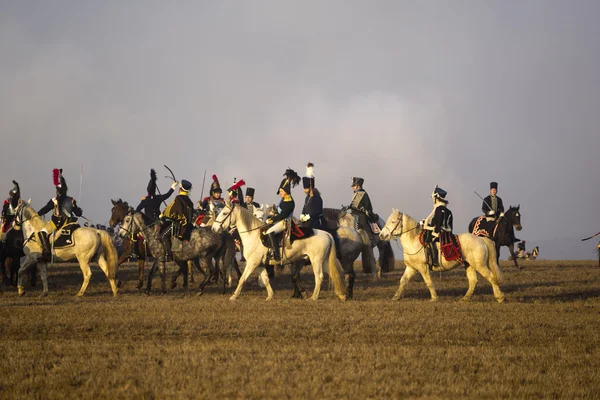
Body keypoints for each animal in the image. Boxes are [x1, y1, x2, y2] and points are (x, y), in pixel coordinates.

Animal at [211, 202, 344, 302]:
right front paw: (270, 296)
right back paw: (342, 295)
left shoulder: (252, 263)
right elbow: (265, 280)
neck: (252, 234)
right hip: (324, 262)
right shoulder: (260, 265)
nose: (213, 228)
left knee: (319, 277)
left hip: (316, 261)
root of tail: (327, 234)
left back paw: (314, 297)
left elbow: (242, 279)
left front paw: (233, 296)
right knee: (333, 274)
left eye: (224, 213)